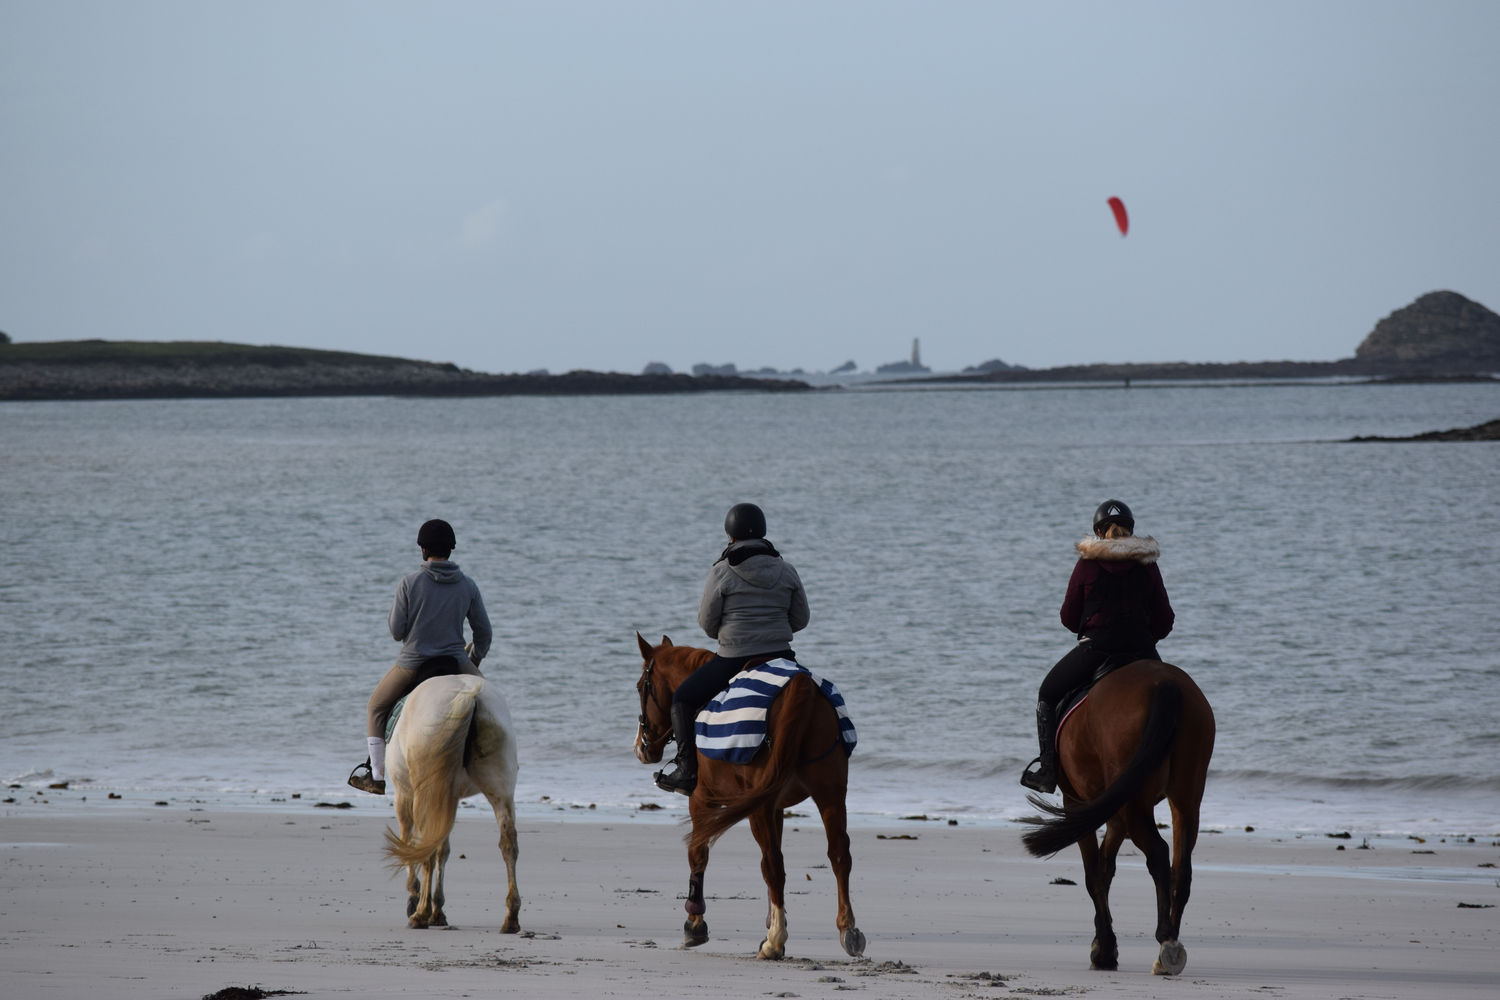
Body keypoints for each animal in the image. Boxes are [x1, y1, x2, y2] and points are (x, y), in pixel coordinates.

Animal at [633, 632, 870, 959]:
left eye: (640, 687)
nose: (641, 748)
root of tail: (802, 687)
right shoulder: (776, 808)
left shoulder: (702, 800)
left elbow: (698, 852)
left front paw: (695, 922)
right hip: (830, 793)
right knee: (838, 855)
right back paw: (848, 929)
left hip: (761, 806)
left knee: (773, 864)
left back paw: (775, 941)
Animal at [1026, 659, 1212, 971]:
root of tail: (1165, 682)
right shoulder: (1114, 812)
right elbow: (1105, 867)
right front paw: (1104, 945)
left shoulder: (1077, 803)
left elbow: (1093, 874)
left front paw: (1103, 950)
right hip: (1185, 798)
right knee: (1181, 867)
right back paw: (1168, 947)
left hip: (1134, 803)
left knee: (1158, 853)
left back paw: (1166, 941)